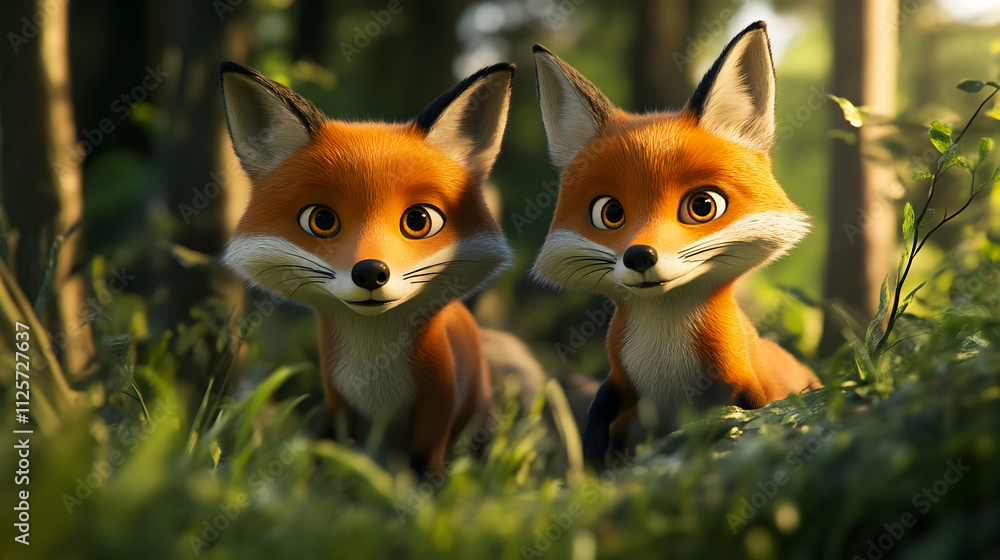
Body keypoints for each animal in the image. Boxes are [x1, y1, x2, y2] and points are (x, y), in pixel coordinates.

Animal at [218, 61, 517, 474]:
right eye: (322, 219)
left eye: (419, 220)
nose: (371, 272)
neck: (375, 371)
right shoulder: (337, 401)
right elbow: (327, 460)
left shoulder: (437, 407)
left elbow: (426, 470)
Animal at [530, 21, 821, 466]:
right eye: (610, 213)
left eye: (702, 205)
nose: (639, 256)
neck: (665, 362)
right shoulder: (619, 384)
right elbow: (596, 428)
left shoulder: (744, 387)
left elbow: (750, 419)